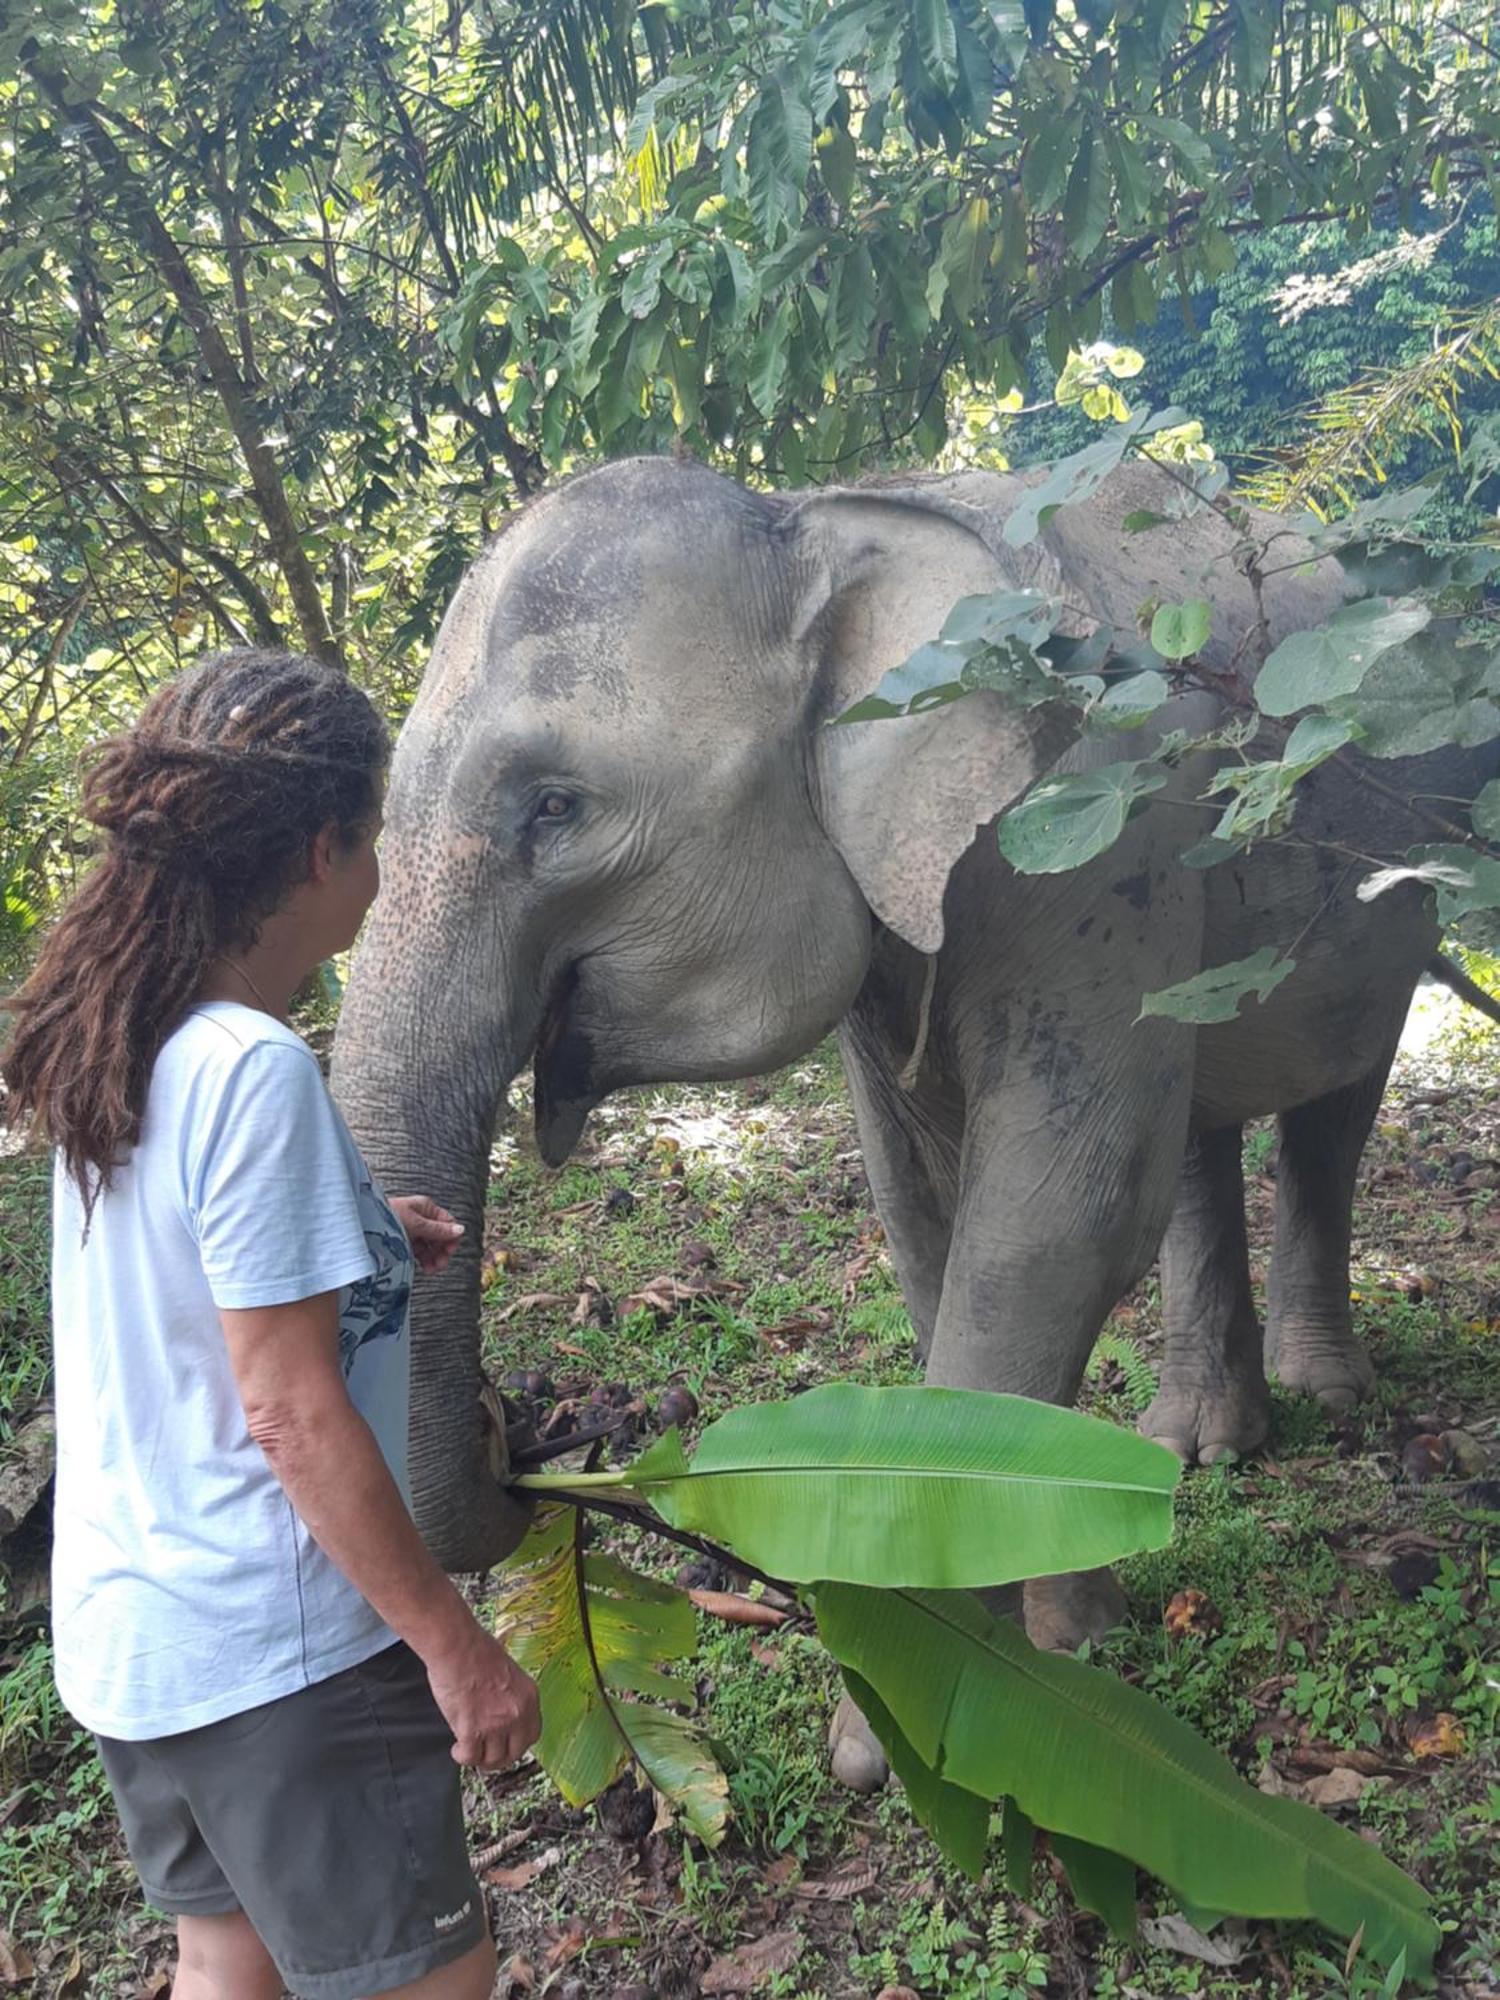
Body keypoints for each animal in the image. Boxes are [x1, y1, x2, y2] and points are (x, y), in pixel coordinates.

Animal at [332, 458, 1500, 1752]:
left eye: (554, 806)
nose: (517, 1426)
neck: (824, 521)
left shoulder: (1100, 832)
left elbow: (1053, 1220)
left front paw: (913, 1697)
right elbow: (922, 1208)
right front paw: (1061, 1625)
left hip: (1399, 867)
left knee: (1335, 1097)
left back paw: (1318, 1392)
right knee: (1195, 1126)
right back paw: (1192, 1442)